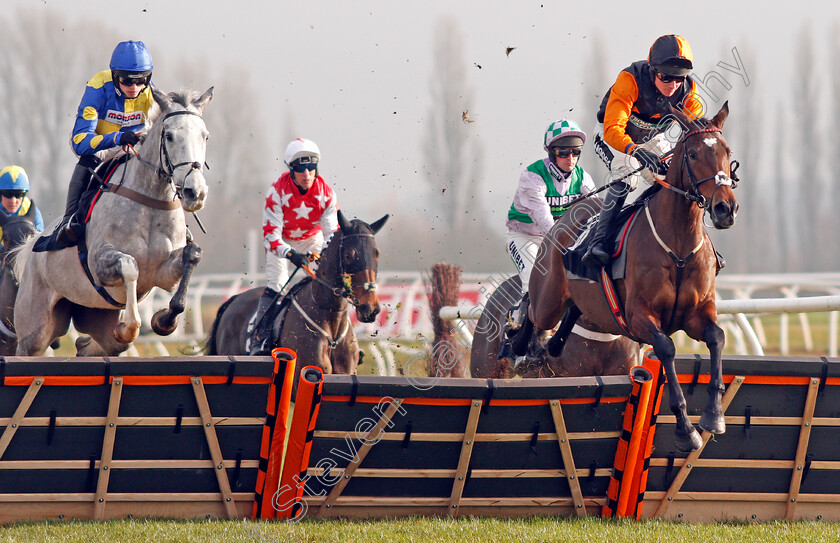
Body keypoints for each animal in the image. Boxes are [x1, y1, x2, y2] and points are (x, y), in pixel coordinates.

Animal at [12, 86, 213, 354]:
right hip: (34, 329)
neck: (150, 201)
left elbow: (193, 255)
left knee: (92, 346)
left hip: (98, 318)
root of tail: (31, 248)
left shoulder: (164, 271)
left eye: (205, 136)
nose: (195, 192)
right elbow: (130, 266)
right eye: (169, 136)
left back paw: (86, 343)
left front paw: (165, 320)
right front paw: (130, 325)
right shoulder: (101, 262)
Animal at [528, 104, 740, 452]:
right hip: (546, 302)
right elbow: (666, 348)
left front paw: (714, 416)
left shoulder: (698, 313)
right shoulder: (640, 315)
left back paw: (554, 345)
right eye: (692, 153)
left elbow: (718, 338)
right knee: (532, 315)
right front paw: (686, 429)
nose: (725, 209)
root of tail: (562, 222)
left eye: (727, 151)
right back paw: (522, 344)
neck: (678, 245)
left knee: (573, 313)